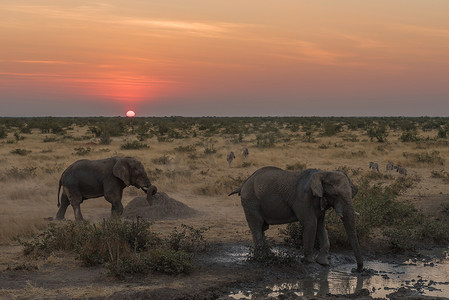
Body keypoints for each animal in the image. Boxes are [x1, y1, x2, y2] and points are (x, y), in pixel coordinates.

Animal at [229, 166, 362, 272]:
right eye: (335, 195)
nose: (355, 270)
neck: (323, 173)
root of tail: (243, 184)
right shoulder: (304, 199)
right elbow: (311, 224)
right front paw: (309, 262)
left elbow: (321, 225)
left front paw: (323, 263)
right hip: (250, 201)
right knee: (257, 226)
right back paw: (261, 258)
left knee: (262, 228)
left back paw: (267, 255)